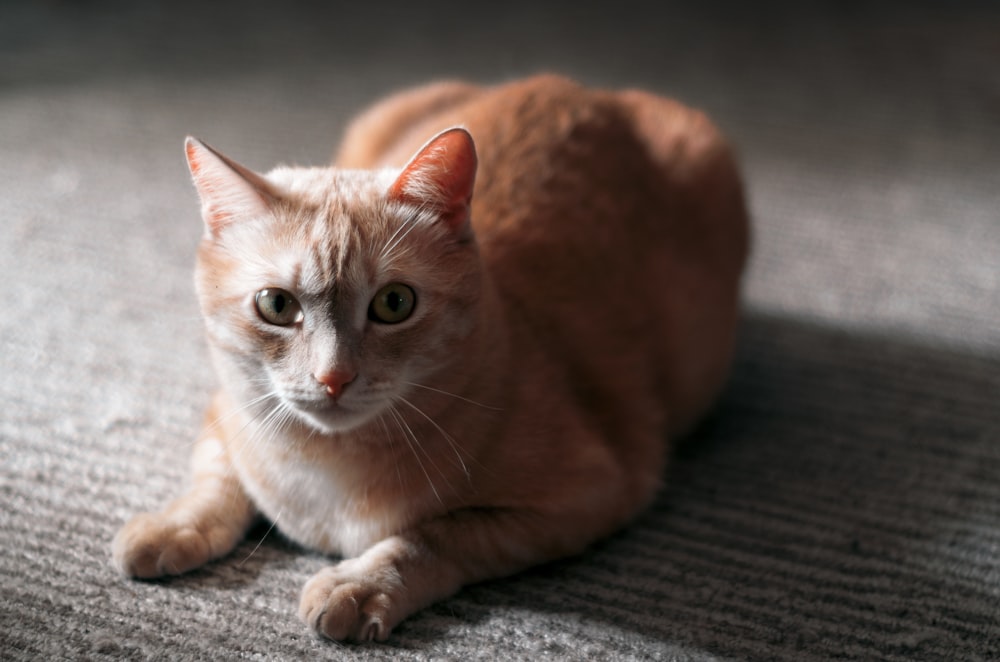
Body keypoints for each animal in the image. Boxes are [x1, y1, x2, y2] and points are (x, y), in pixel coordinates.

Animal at [109, 72, 752, 644]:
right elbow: (215, 480)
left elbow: (434, 536)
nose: (333, 377)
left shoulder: (587, 496)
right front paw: (171, 526)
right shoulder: (225, 411)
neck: (329, 470)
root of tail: (580, 87)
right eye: (276, 304)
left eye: (394, 303)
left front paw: (361, 585)